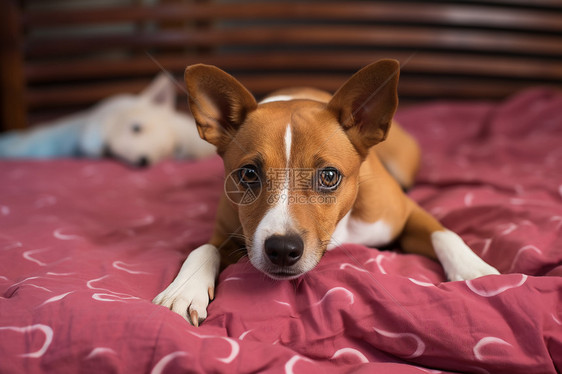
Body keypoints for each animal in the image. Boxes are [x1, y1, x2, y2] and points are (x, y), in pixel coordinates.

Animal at [151, 60, 496, 326]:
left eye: (329, 176)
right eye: (248, 174)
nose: (282, 249)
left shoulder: (404, 212)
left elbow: (444, 232)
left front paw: (473, 269)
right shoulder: (226, 232)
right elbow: (203, 248)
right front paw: (184, 289)